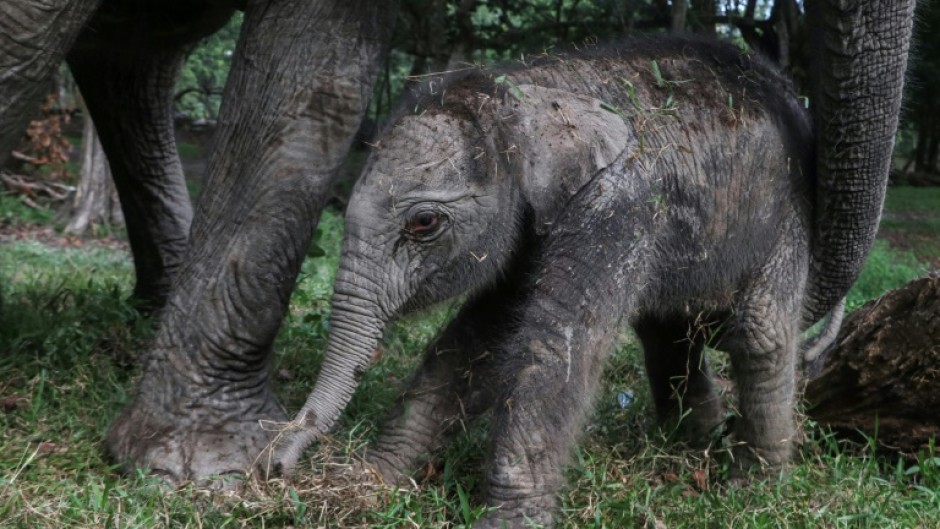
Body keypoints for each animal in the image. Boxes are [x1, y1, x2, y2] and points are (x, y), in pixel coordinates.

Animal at [274, 37, 816, 524]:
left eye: (424, 223)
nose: (277, 465)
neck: (534, 88)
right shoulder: (529, 228)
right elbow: (479, 339)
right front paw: (373, 481)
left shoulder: (623, 201)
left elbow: (555, 346)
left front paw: (507, 522)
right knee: (668, 334)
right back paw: (693, 445)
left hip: (789, 214)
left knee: (761, 331)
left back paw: (751, 489)